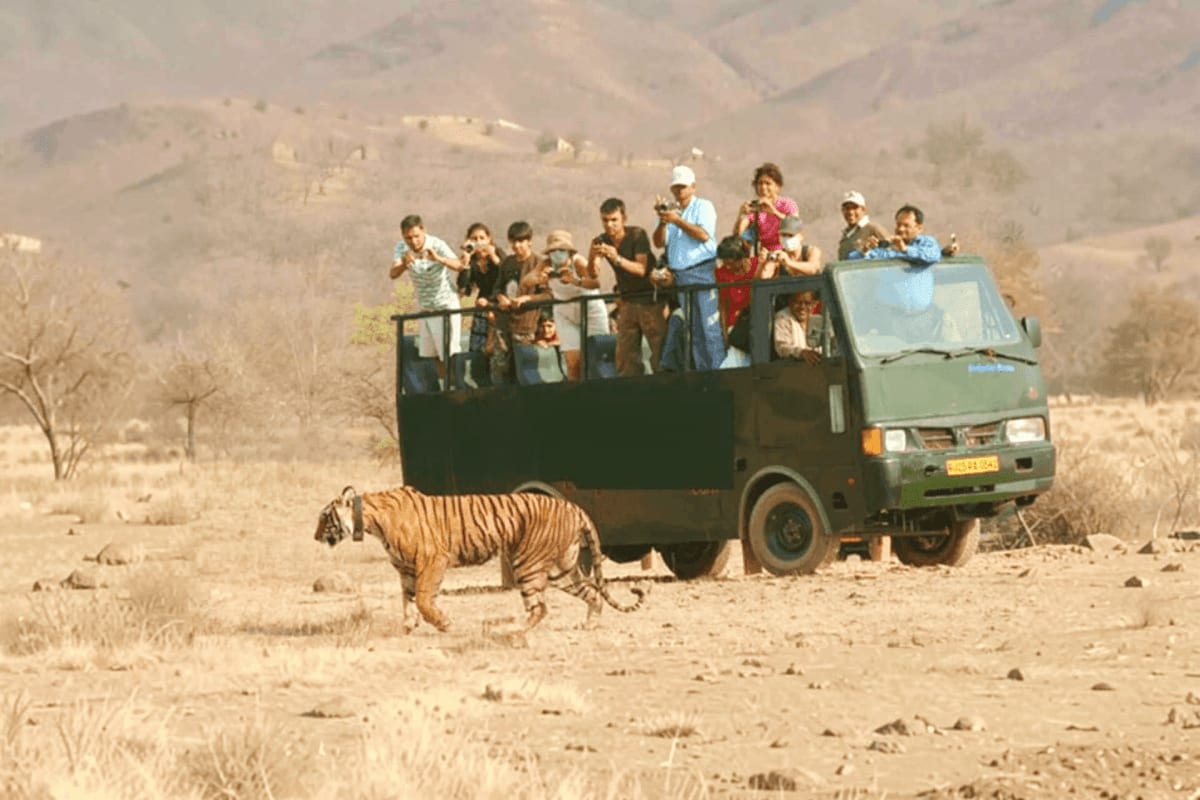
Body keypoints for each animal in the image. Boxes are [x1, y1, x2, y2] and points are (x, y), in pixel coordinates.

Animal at [314, 485, 647, 632]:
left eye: (324, 518)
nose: (315, 537)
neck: (370, 519)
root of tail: (574, 507)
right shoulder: (406, 569)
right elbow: (408, 601)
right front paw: (408, 628)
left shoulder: (432, 560)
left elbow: (422, 598)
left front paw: (443, 624)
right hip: (560, 568)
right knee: (592, 592)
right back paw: (589, 624)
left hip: (527, 563)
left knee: (540, 607)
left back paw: (516, 632)